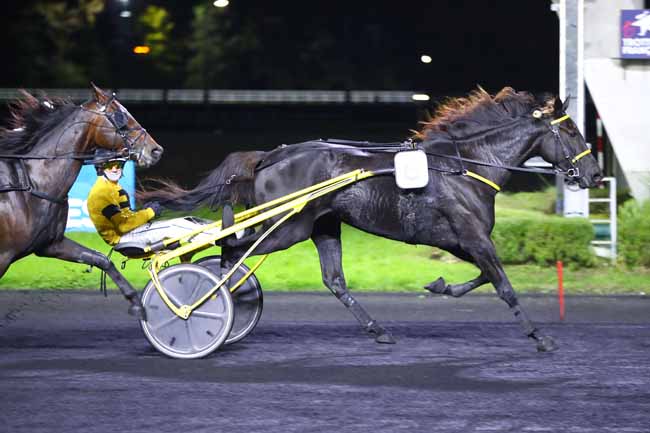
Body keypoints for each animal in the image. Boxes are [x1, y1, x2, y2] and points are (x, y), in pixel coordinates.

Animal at [0, 82, 162, 316]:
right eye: (121, 117)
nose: (156, 150)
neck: (31, 183)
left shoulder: (51, 244)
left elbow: (101, 259)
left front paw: (135, 301)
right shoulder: (3, 256)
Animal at [143, 88, 604, 352]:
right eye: (573, 132)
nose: (595, 175)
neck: (466, 166)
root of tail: (270, 156)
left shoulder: (459, 240)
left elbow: (480, 278)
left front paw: (441, 285)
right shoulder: (473, 236)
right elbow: (504, 284)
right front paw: (540, 337)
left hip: (323, 226)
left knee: (331, 280)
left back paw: (377, 329)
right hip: (288, 227)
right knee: (232, 249)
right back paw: (198, 304)